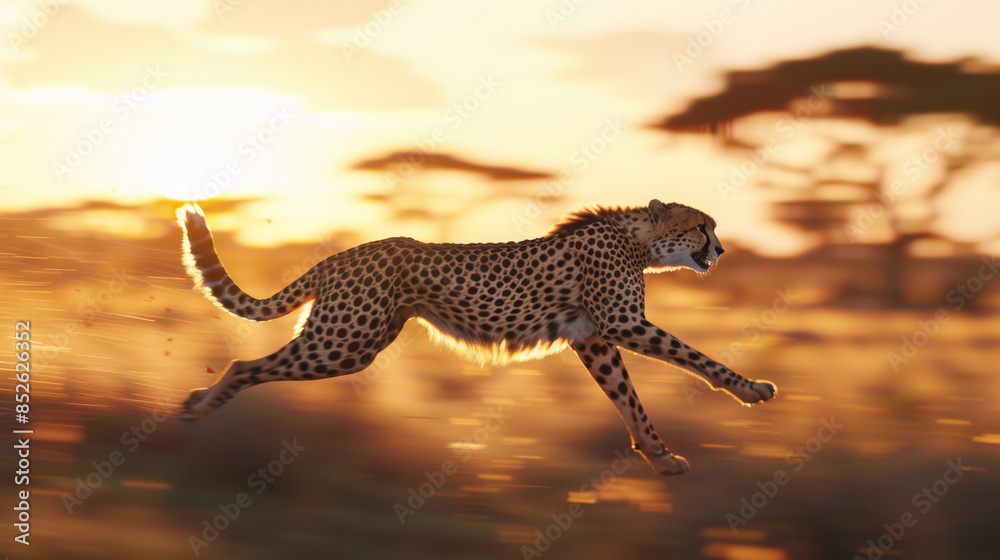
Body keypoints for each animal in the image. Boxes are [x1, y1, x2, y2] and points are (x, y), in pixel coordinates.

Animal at [176, 199, 777, 475]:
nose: (722, 249)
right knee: (245, 366)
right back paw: (200, 406)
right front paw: (751, 389)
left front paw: (658, 457)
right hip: (343, 343)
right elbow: (697, 357)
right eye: (701, 227)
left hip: (356, 341)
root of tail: (345, 253)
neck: (639, 241)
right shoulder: (622, 324)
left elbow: (629, 400)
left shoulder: (592, 339)